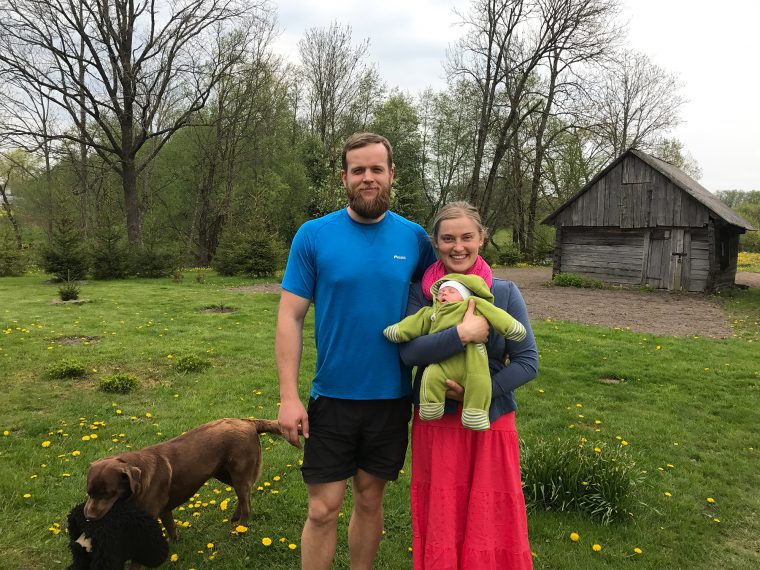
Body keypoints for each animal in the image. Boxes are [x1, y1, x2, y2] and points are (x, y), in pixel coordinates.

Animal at [84, 418, 282, 540]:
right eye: (89, 493)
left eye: (108, 493)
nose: (89, 517)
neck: (140, 481)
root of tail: (248, 422)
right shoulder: (164, 512)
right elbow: (171, 529)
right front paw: (175, 542)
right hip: (225, 474)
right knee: (245, 496)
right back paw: (235, 517)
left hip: (239, 473)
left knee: (247, 504)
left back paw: (239, 530)